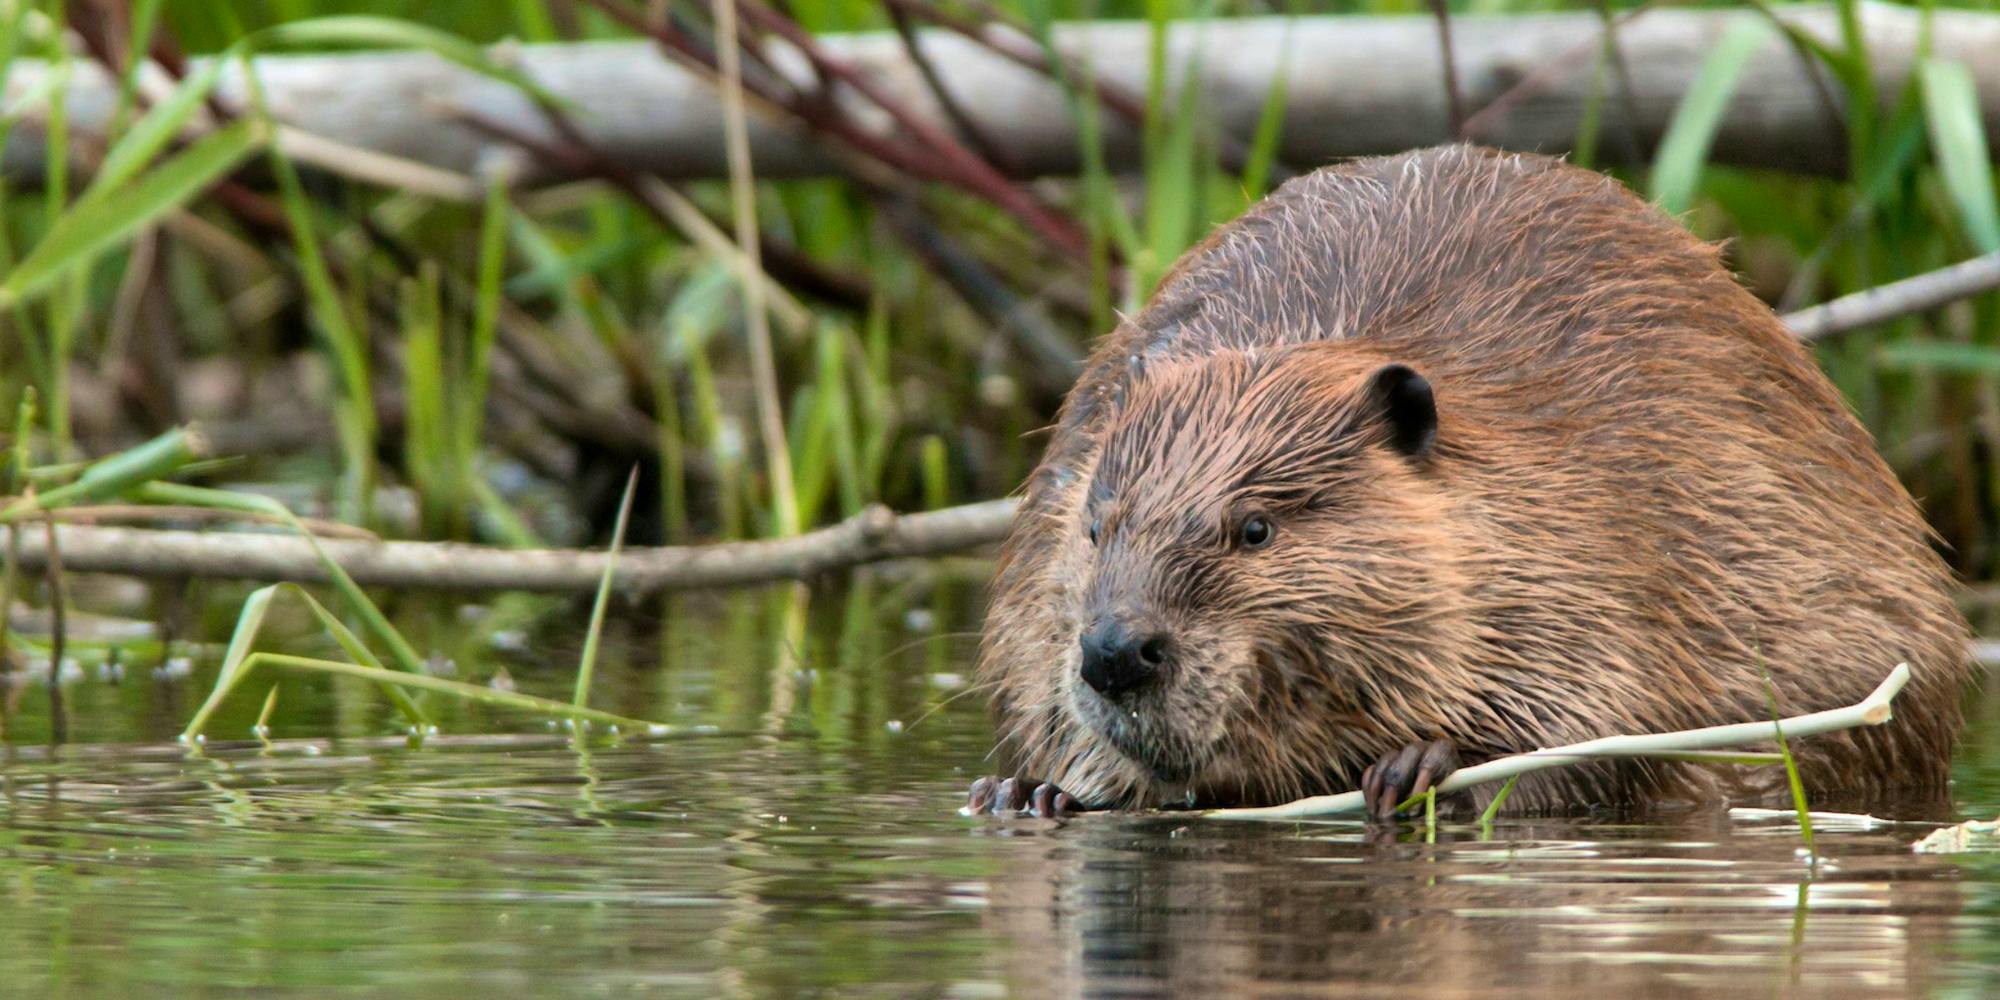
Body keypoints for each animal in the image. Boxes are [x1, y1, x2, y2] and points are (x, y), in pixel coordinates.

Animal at [964, 146, 1968, 820]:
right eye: (1097, 526)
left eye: (1254, 528)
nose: (1114, 652)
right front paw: (1027, 790)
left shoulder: (1609, 531)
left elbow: (1601, 730)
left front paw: (1419, 767)